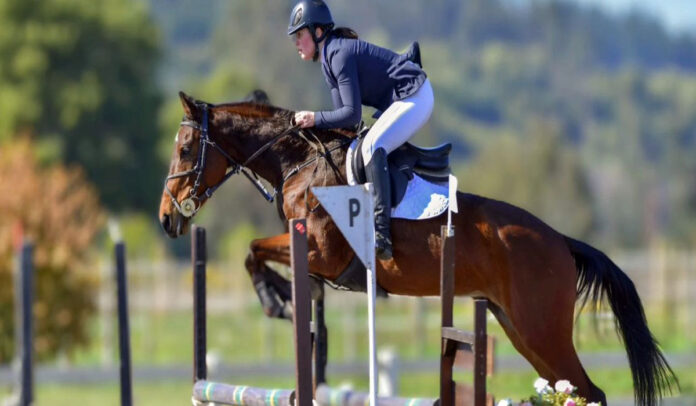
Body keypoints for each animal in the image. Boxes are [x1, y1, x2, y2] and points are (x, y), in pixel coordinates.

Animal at [159, 93, 676, 406]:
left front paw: (277, 299)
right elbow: (256, 252)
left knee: (589, 391)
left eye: (184, 149)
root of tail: (562, 242)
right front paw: (284, 300)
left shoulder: (321, 254)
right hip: (521, 331)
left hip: (542, 329)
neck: (300, 163)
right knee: (574, 389)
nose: (167, 218)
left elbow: (254, 249)